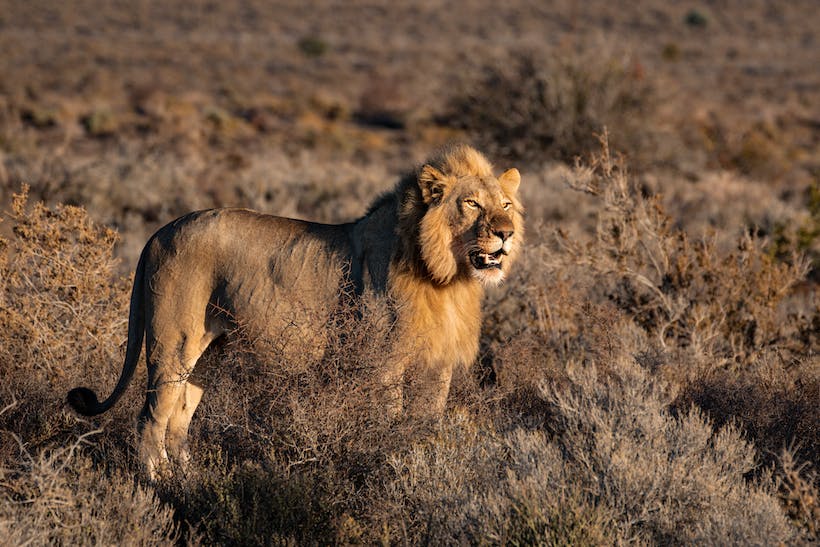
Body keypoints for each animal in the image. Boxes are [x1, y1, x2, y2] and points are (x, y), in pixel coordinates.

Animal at [67, 144, 523, 479]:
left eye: (505, 204)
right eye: (472, 204)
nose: (506, 233)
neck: (447, 278)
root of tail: (158, 233)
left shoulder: (437, 365)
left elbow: (426, 424)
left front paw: (424, 462)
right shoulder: (384, 364)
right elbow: (390, 423)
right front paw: (391, 464)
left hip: (209, 353)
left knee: (179, 420)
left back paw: (191, 481)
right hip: (172, 344)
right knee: (150, 419)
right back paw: (159, 486)